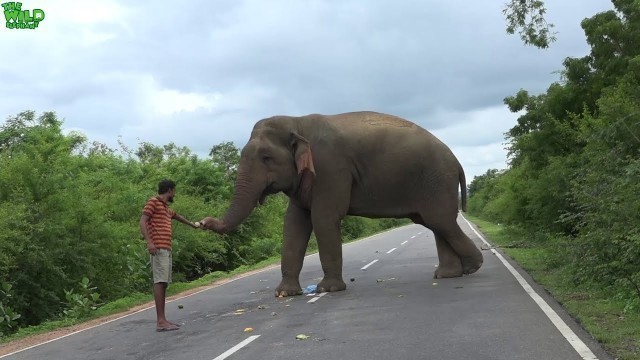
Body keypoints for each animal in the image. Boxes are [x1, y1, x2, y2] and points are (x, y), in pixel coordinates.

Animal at [200, 111, 480, 296]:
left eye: (266, 157)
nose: (202, 221)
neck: (297, 122)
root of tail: (456, 160)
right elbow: (294, 224)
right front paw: (285, 294)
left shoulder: (330, 168)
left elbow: (323, 218)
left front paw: (329, 290)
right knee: (435, 223)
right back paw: (449, 274)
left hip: (436, 179)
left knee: (439, 221)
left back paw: (472, 267)